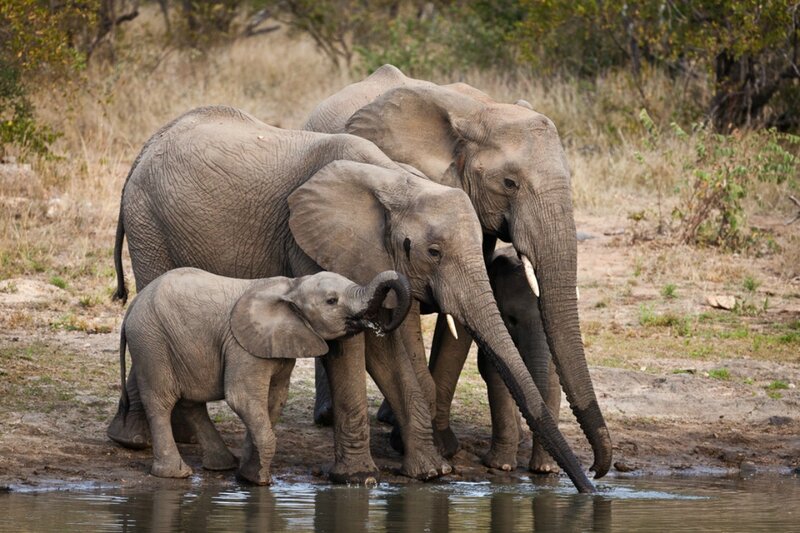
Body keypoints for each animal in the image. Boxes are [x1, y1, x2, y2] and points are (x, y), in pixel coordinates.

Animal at [116, 267, 410, 484]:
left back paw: (222, 466)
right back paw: (176, 474)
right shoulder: (242, 346)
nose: (383, 325)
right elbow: (242, 398)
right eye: (331, 301)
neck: (292, 286)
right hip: (151, 341)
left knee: (192, 402)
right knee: (162, 401)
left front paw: (247, 476)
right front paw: (260, 482)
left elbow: (274, 399)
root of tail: (131, 306)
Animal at [304, 64, 611, 479]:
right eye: (510, 183)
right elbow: (411, 313)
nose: (596, 470)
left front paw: (441, 445)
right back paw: (328, 416)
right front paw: (425, 449)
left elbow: (465, 313)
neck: (480, 114)